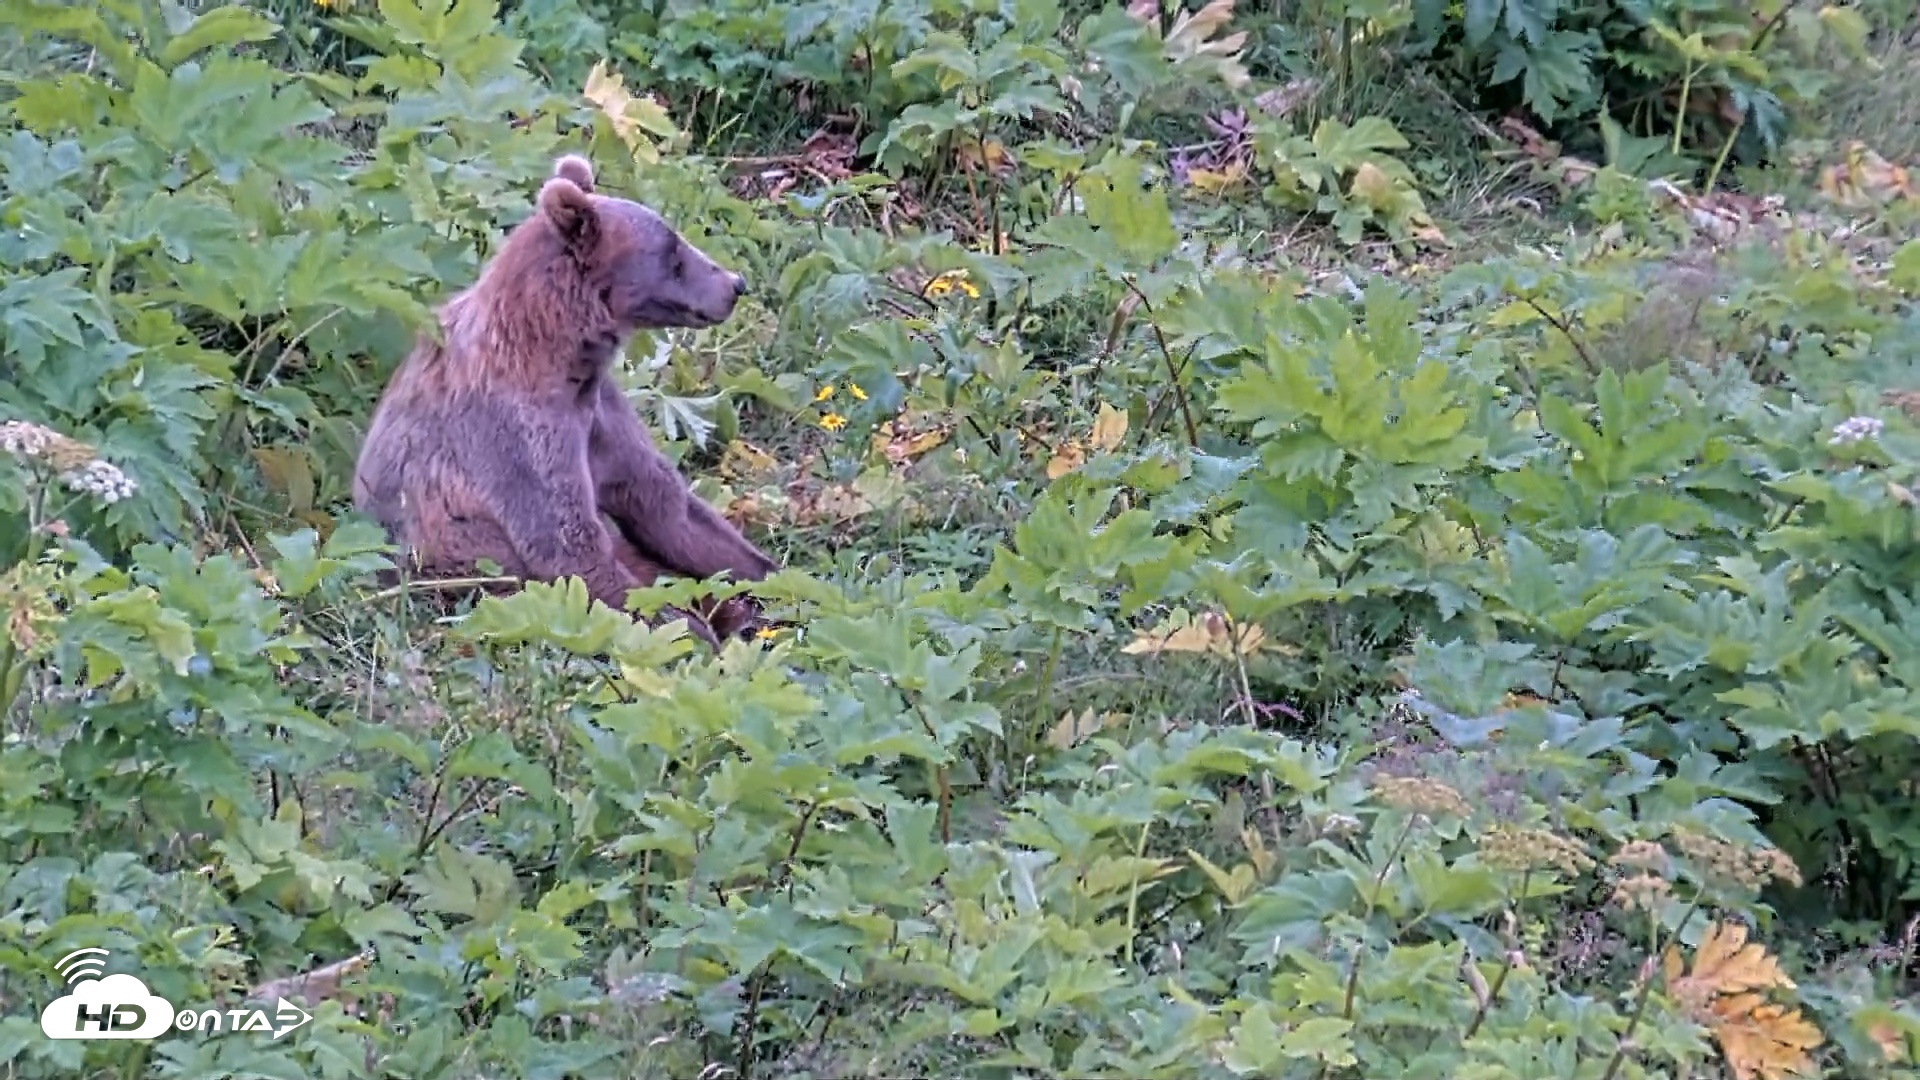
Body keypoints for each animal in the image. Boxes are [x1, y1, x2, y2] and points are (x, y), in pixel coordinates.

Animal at [351, 152, 779, 647]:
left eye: (676, 242)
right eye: (673, 254)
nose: (735, 283)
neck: (562, 356)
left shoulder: (599, 413)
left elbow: (668, 506)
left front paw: (775, 578)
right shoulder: (517, 433)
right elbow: (568, 546)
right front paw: (687, 632)